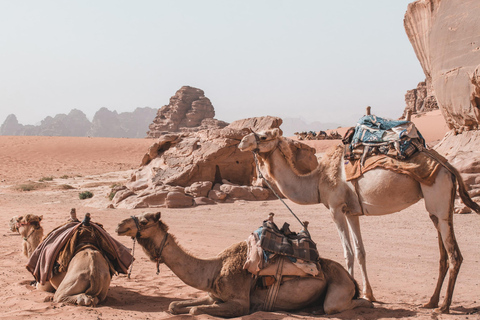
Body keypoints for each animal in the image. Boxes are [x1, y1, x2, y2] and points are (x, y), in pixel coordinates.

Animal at [115, 212, 372, 318]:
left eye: (144, 221)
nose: (119, 225)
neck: (214, 269)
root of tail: (350, 279)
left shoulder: (240, 303)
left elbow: (195, 311)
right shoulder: (213, 295)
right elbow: (175, 305)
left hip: (339, 288)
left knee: (340, 305)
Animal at [239, 127, 480, 312]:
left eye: (263, 136)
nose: (242, 141)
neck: (317, 182)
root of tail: (449, 167)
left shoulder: (336, 209)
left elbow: (348, 252)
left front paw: (352, 292)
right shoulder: (352, 212)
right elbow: (360, 251)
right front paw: (368, 294)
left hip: (438, 194)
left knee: (454, 255)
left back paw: (444, 307)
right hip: (437, 207)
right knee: (443, 253)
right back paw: (430, 302)